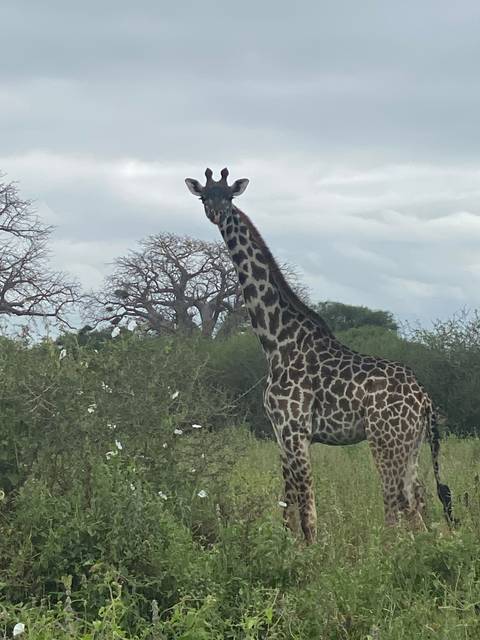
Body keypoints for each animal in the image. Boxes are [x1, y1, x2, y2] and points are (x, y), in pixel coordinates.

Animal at [185, 167, 454, 544]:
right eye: (204, 197)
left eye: (229, 196)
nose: (216, 214)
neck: (276, 341)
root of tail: (425, 400)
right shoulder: (280, 432)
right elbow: (288, 507)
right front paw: (289, 549)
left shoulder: (295, 429)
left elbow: (308, 512)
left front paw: (314, 555)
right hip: (411, 446)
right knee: (419, 504)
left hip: (385, 441)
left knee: (400, 507)